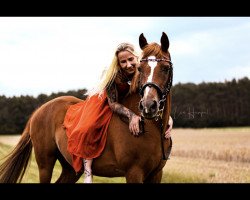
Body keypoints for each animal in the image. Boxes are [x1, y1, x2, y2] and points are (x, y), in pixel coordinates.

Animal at [0, 32, 173, 184]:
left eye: (165, 68)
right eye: (140, 68)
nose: (148, 106)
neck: (152, 129)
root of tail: (39, 110)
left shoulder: (156, 174)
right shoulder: (134, 172)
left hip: (70, 169)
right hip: (45, 164)